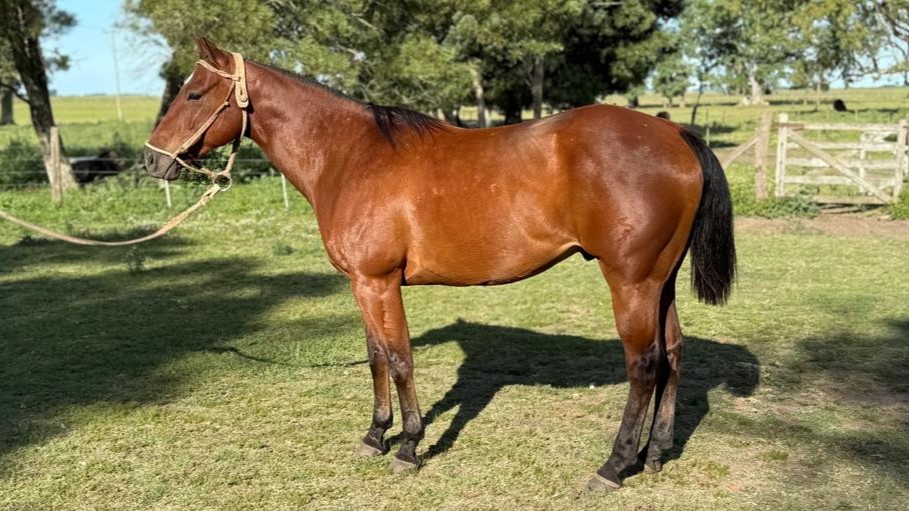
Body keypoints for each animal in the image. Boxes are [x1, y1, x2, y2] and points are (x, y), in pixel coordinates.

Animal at [144, 37, 736, 492]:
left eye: (195, 92)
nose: (151, 160)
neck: (350, 157)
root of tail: (675, 133)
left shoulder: (379, 283)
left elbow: (400, 359)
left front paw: (408, 446)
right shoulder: (361, 286)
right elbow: (376, 358)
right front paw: (374, 436)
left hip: (631, 283)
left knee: (644, 366)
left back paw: (613, 466)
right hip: (659, 283)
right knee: (674, 355)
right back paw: (654, 454)